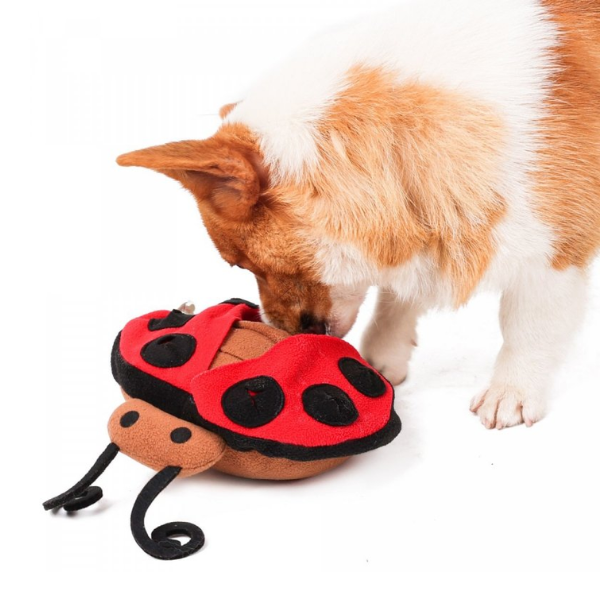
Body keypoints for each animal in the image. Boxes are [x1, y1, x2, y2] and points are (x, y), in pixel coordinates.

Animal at [117, 0, 600, 430]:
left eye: (245, 265)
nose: (282, 337)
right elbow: (394, 300)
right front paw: (381, 359)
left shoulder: (554, 257)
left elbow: (525, 330)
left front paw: (510, 395)